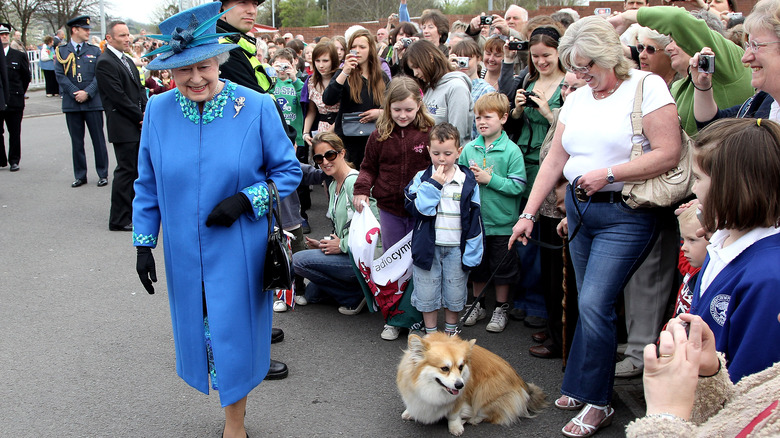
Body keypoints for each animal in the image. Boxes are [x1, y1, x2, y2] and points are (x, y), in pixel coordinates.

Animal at [396, 332, 548, 434]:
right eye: (444, 368)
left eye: (461, 367)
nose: (460, 385)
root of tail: (524, 387)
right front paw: (410, 412)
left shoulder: (460, 399)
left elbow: (453, 414)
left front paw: (455, 427)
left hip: (484, 391)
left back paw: (473, 419)